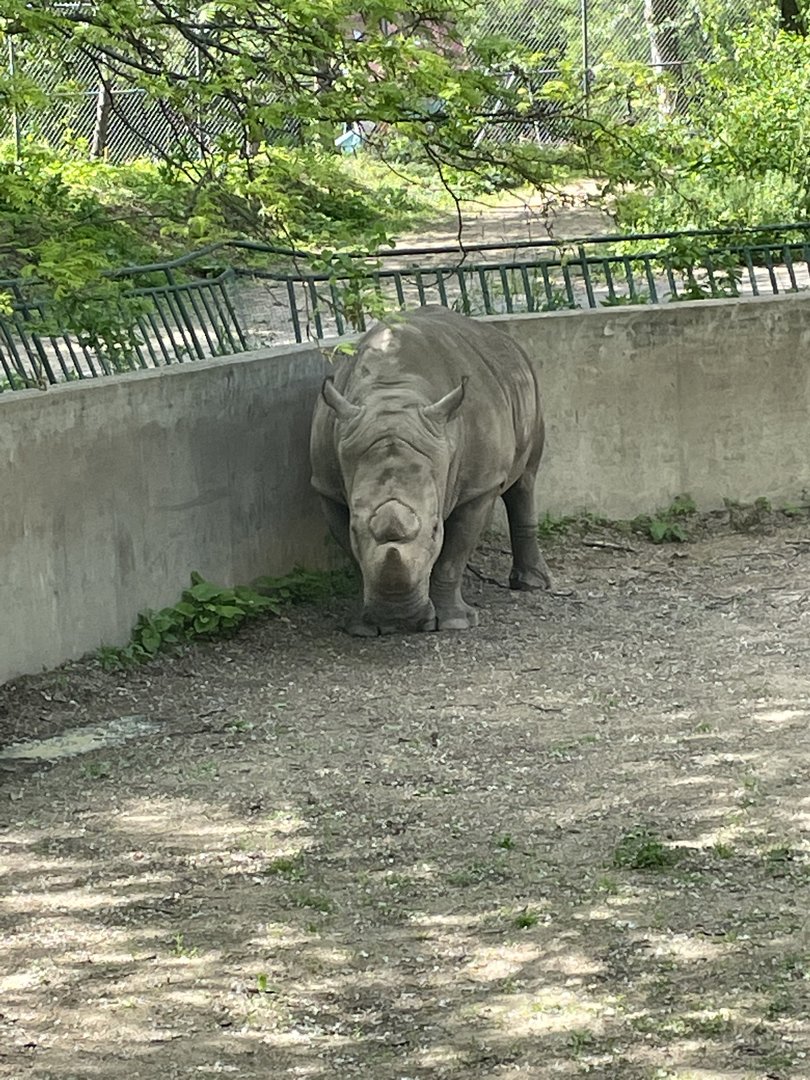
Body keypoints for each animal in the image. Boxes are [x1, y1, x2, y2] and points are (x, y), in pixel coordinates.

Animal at [309, 306, 551, 635]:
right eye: (355, 529)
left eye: (436, 528)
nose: (398, 619)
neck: (393, 394)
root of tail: (498, 335)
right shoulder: (328, 487)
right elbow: (353, 551)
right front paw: (362, 627)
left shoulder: (479, 487)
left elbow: (454, 554)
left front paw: (454, 622)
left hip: (528, 384)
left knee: (525, 481)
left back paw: (532, 585)